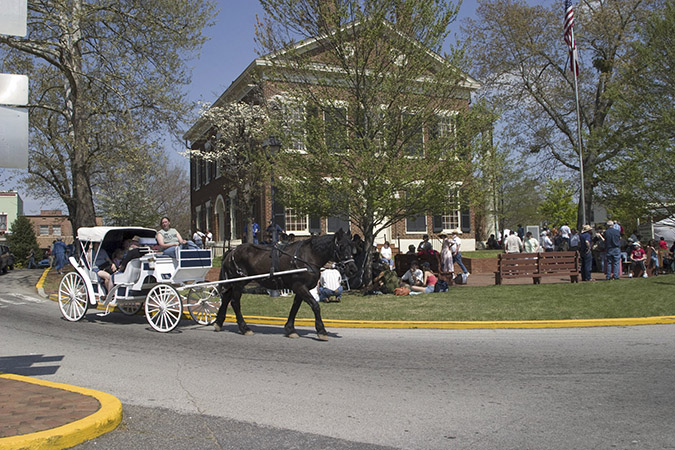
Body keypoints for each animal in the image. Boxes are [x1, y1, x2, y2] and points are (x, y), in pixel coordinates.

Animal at [215, 230, 360, 340]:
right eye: (341, 246)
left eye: (352, 246)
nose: (353, 269)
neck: (309, 256)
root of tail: (231, 251)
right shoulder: (299, 286)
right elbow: (315, 306)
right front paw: (321, 331)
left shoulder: (300, 287)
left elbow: (295, 308)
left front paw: (290, 329)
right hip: (238, 282)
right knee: (235, 302)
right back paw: (244, 328)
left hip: (233, 282)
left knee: (226, 299)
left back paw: (218, 323)